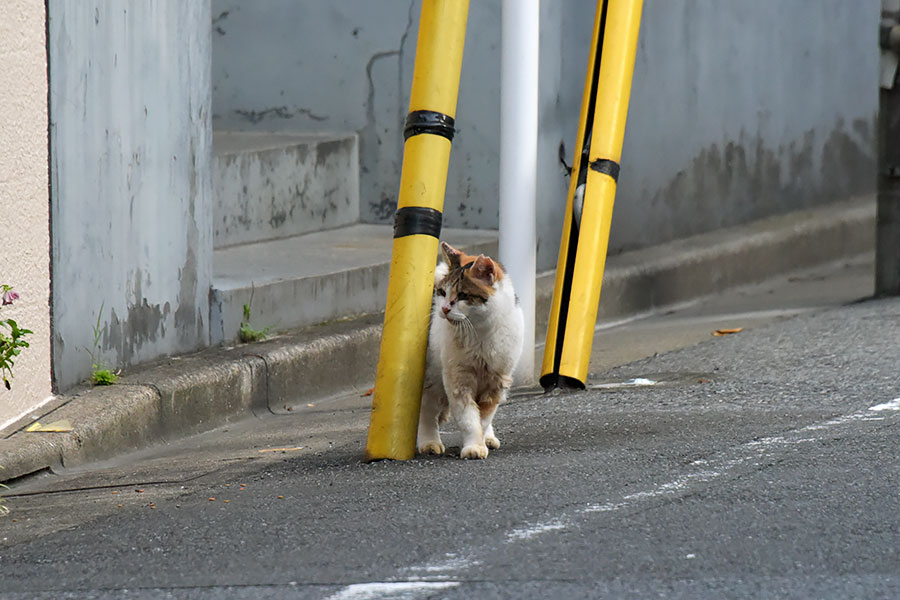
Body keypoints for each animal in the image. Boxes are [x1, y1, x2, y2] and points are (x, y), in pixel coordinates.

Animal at [416, 241, 524, 458]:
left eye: (463, 296)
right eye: (443, 293)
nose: (444, 309)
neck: (480, 333)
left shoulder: (496, 383)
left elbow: (483, 419)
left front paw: (480, 442)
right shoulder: (458, 381)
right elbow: (468, 419)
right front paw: (474, 447)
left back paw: (489, 438)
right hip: (432, 379)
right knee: (428, 412)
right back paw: (429, 443)